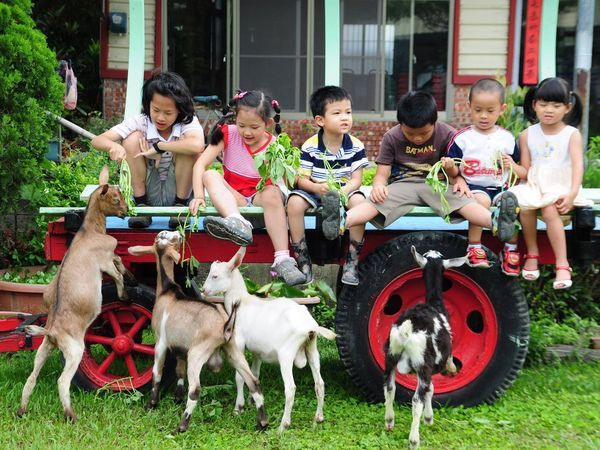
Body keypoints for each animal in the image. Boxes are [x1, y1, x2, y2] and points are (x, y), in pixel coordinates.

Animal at [17, 166, 131, 422]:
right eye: (115, 198)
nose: (126, 210)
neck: (89, 231)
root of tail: (51, 331)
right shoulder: (104, 261)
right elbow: (118, 270)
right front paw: (125, 293)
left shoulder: (108, 257)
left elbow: (120, 263)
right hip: (74, 349)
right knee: (62, 381)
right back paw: (71, 415)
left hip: (44, 349)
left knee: (31, 378)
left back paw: (21, 410)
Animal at [129, 230, 270, 434]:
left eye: (161, 236)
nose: (178, 233)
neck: (167, 290)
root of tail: (224, 325)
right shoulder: (180, 347)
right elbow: (179, 371)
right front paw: (177, 398)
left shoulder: (161, 341)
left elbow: (157, 373)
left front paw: (152, 404)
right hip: (233, 349)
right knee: (253, 381)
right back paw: (262, 423)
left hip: (198, 353)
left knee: (195, 389)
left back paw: (181, 426)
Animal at [203, 248, 338, 430]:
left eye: (215, 276)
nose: (203, 290)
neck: (241, 302)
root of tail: (310, 327)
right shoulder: (258, 352)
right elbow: (254, 374)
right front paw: (253, 400)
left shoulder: (239, 343)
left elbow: (240, 376)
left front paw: (238, 408)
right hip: (312, 349)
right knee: (320, 383)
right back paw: (319, 418)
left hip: (286, 354)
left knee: (290, 388)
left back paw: (283, 425)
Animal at [384, 248, 464, 448]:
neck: (435, 302)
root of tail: (407, 328)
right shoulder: (434, 362)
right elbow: (431, 388)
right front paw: (429, 418)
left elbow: (430, 388)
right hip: (421, 362)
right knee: (416, 400)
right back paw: (414, 440)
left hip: (390, 356)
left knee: (389, 388)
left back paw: (389, 422)